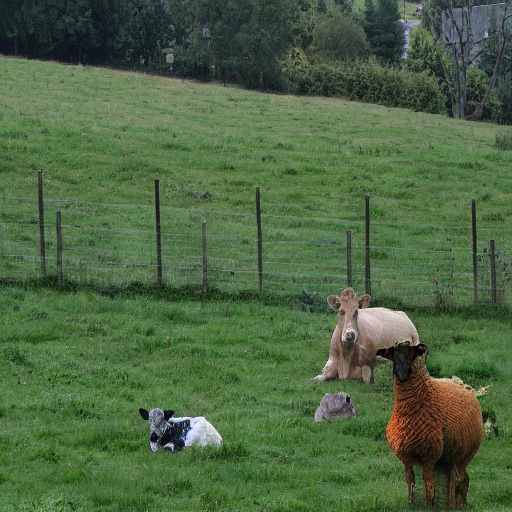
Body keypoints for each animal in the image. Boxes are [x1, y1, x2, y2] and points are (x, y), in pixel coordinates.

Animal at [376, 342, 484, 510]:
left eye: (412, 352)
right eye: (393, 354)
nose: (401, 374)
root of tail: (462, 385)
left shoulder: (429, 457)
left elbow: (429, 483)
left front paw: (430, 506)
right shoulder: (406, 458)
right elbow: (410, 481)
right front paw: (411, 504)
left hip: (463, 456)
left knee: (463, 479)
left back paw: (461, 505)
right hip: (449, 458)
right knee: (455, 480)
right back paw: (452, 504)